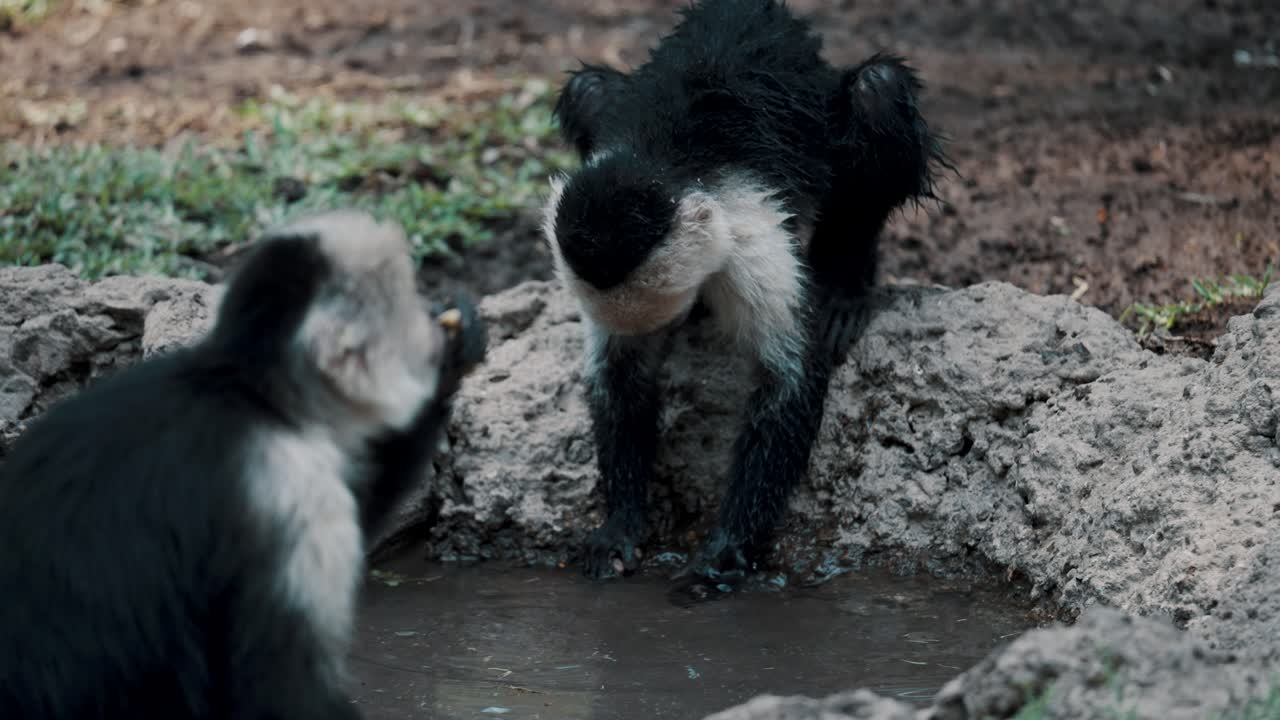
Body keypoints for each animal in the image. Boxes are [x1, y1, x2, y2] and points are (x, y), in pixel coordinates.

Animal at [543, 0, 948, 591]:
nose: (681, 317)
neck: (665, 161)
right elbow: (620, 374)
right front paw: (620, 525)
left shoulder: (747, 239)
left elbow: (789, 376)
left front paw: (727, 550)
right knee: (587, 88)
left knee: (877, 87)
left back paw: (845, 283)